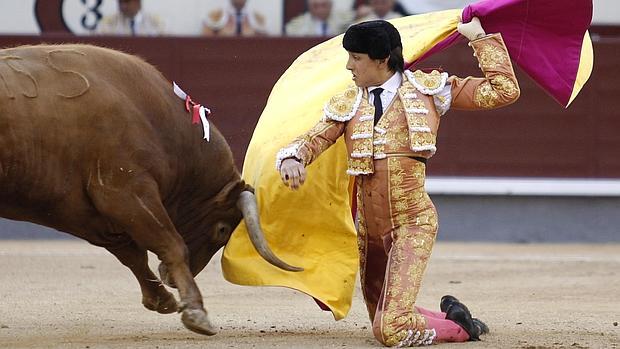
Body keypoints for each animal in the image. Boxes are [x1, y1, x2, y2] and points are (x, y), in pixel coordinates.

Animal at [0, 43, 302, 334]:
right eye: (222, 230)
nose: (169, 279)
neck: (157, 120)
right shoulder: (126, 191)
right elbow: (170, 244)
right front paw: (196, 311)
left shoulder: (84, 210)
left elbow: (132, 253)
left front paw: (162, 300)